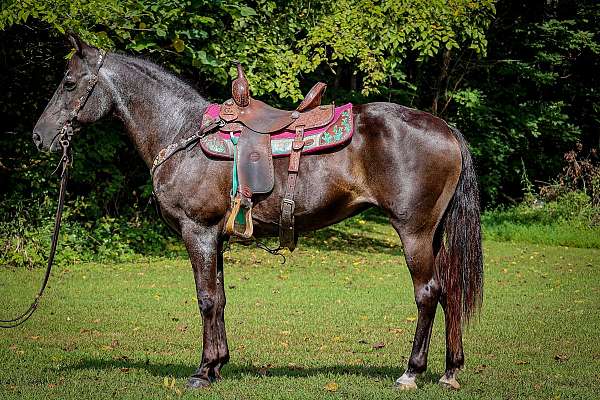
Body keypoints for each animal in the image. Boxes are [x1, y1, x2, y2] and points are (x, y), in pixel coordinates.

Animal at [31, 36, 482, 390]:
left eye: (69, 83)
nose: (39, 136)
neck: (182, 134)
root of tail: (445, 128)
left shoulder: (198, 232)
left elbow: (206, 299)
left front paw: (202, 371)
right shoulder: (215, 237)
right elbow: (221, 298)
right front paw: (217, 365)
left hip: (414, 232)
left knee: (428, 293)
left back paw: (411, 372)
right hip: (434, 235)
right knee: (450, 291)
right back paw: (450, 371)